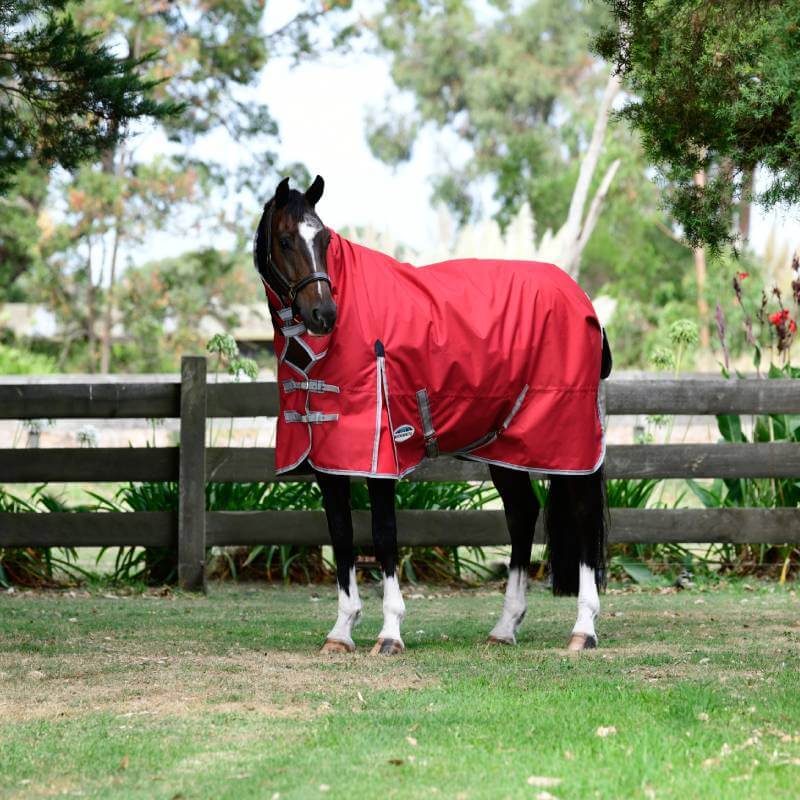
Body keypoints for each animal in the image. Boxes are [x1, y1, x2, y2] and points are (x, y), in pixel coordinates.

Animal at [253, 175, 611, 655]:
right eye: (286, 240)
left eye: (325, 239)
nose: (323, 314)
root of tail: (582, 299)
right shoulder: (330, 462)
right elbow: (342, 535)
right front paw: (341, 631)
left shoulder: (380, 456)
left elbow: (384, 533)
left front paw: (389, 632)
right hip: (507, 448)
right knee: (521, 514)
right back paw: (505, 627)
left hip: (570, 441)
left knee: (584, 515)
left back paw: (583, 629)